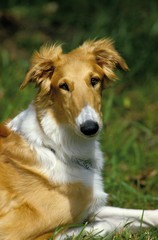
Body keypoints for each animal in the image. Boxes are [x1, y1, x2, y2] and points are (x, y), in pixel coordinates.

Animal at [0, 38, 157, 239]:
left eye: (94, 80)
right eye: (64, 86)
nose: (89, 127)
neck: (55, 148)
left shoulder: (90, 205)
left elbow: (139, 214)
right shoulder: (15, 231)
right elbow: (104, 225)